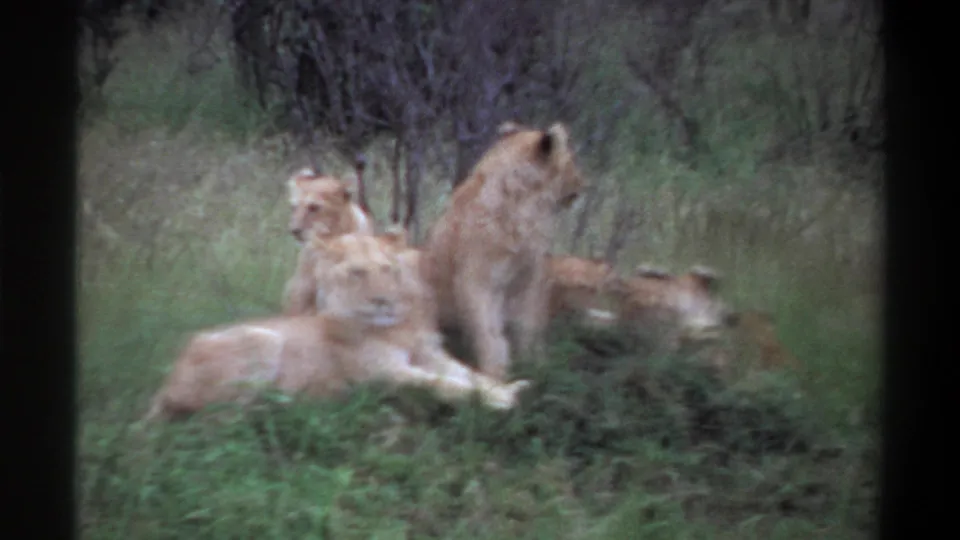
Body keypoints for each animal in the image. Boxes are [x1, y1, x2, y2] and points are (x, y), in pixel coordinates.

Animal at [144, 230, 531, 422]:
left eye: (387, 269)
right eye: (356, 273)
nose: (383, 300)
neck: (396, 327)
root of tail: (165, 384)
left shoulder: (431, 355)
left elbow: (470, 375)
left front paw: (509, 387)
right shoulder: (383, 375)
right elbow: (443, 384)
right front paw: (500, 400)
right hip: (261, 339)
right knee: (216, 419)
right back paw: (290, 404)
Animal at [419, 121, 586, 381]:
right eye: (571, 159)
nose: (582, 182)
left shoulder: (531, 275)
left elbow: (528, 323)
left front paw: (536, 365)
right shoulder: (476, 279)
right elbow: (487, 330)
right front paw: (496, 373)